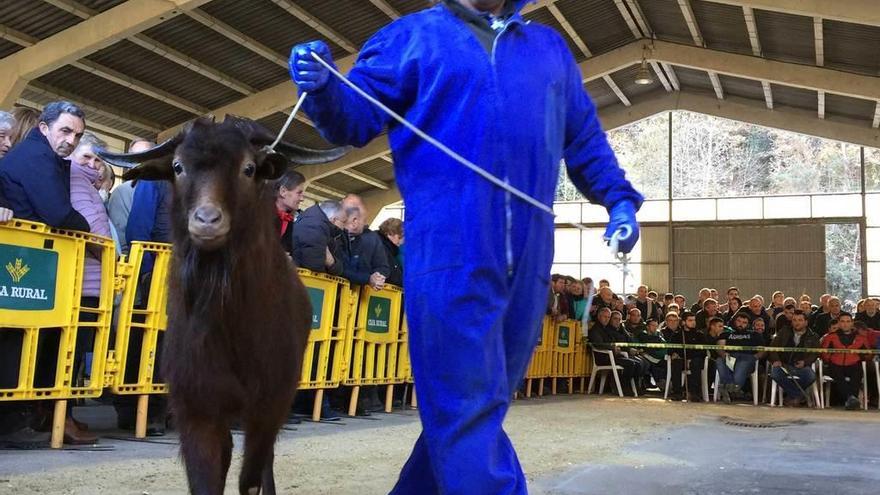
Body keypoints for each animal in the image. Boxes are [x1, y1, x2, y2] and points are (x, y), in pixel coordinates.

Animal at [100, 118, 350, 494]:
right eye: (178, 166)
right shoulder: (197, 406)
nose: (206, 220)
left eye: (249, 168)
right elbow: (208, 478)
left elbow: (251, 478)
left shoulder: (269, 403)